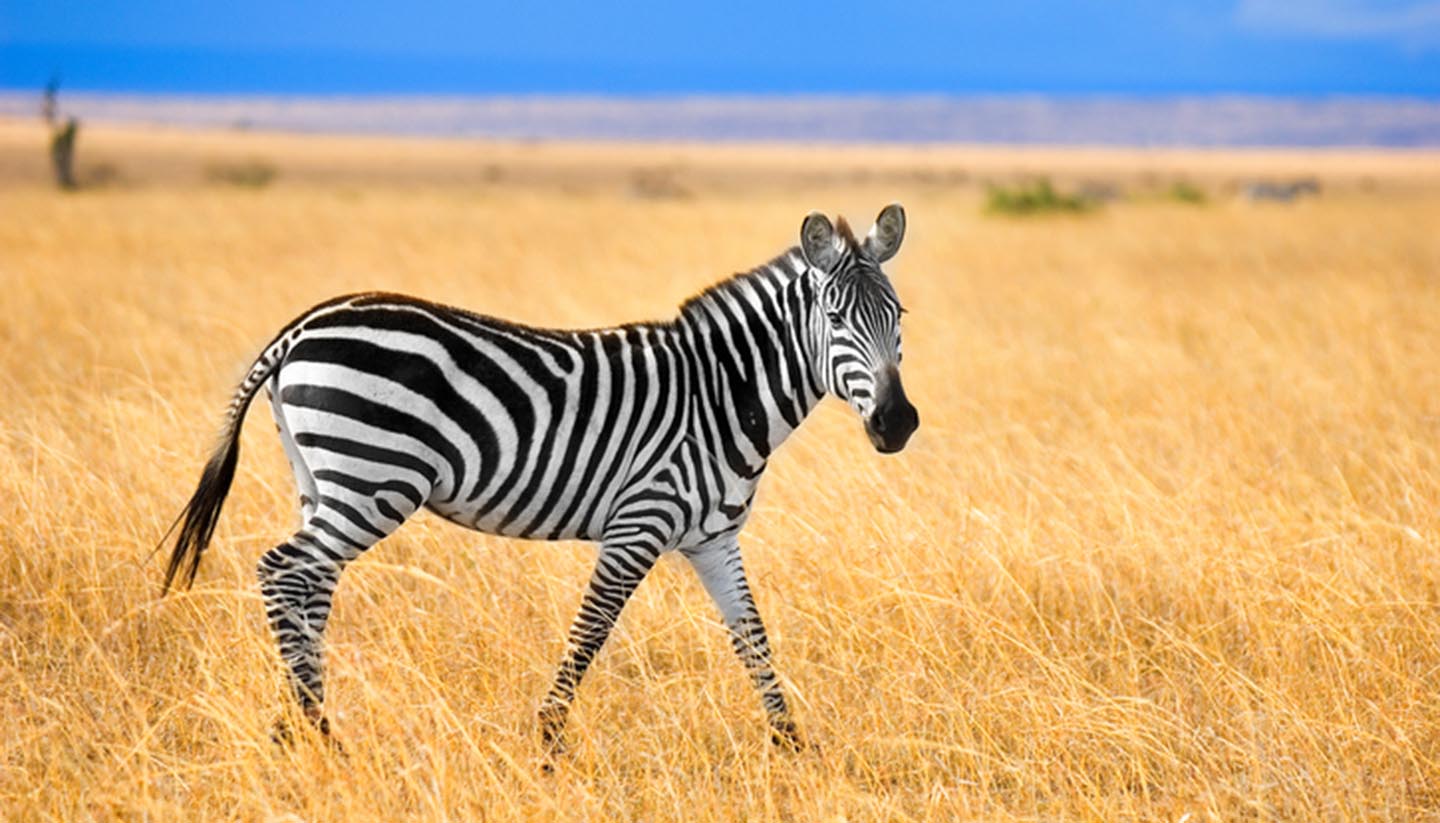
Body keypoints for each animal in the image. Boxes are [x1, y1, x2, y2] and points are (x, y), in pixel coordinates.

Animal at [163, 202, 915, 753]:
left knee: (310, 583)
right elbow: (591, 630)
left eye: (898, 316)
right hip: (373, 480)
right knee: (284, 570)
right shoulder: (639, 523)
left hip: (322, 479)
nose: (898, 423)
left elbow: (752, 638)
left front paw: (792, 746)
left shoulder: (712, 538)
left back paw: (297, 729)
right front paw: (548, 743)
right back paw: (318, 731)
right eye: (836, 317)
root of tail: (301, 327)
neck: (722, 393)